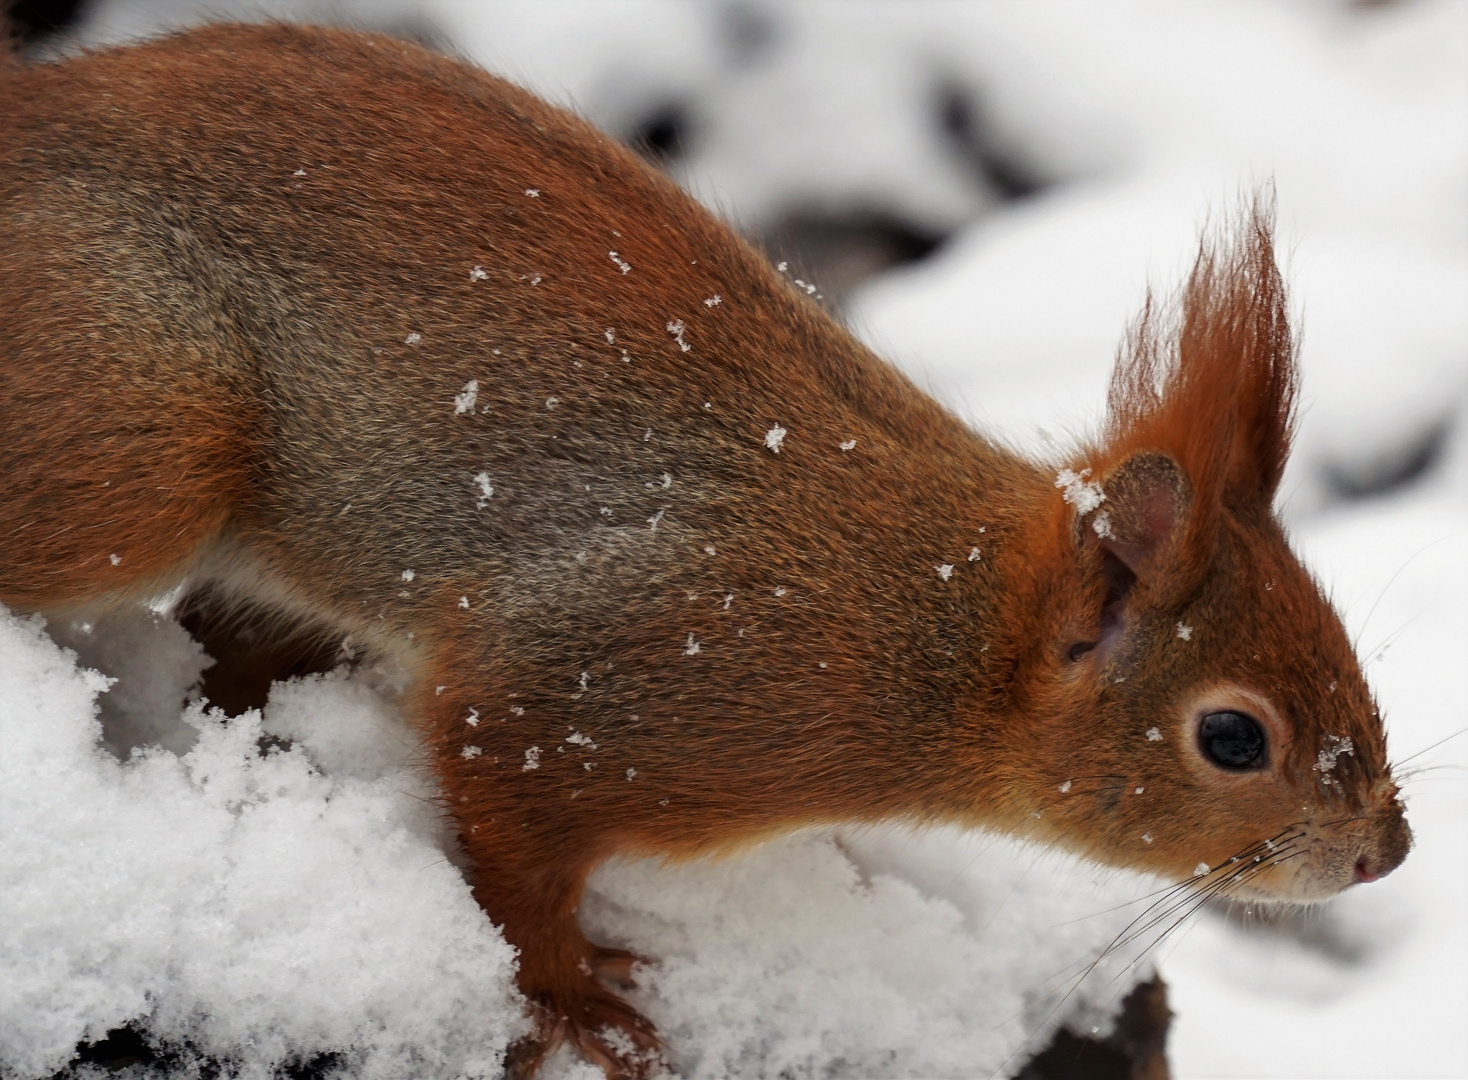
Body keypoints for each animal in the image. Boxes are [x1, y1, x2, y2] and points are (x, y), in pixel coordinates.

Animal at [2, 21, 1409, 1074]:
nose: (1384, 854)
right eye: (1232, 738)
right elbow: (509, 841)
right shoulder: (610, 688)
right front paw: (574, 997)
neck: (928, 622)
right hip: (142, 433)